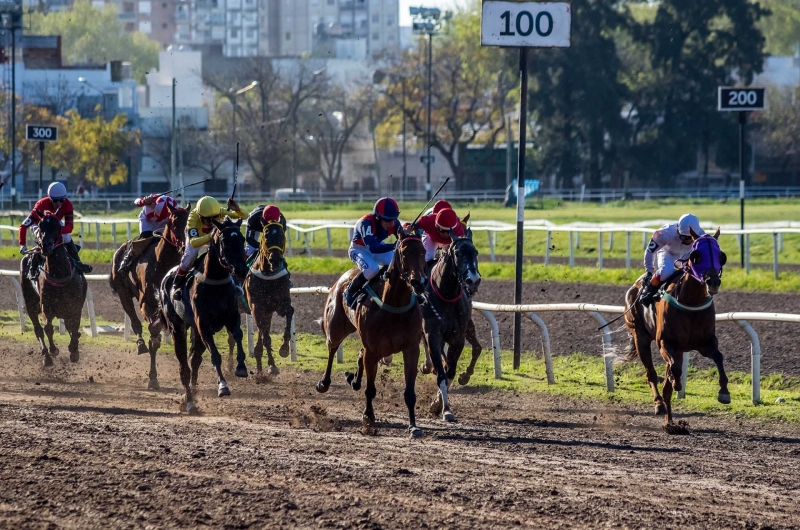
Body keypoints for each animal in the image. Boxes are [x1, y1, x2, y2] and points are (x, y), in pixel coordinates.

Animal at [19, 212, 88, 366]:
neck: (60, 275)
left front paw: (74, 350)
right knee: (38, 329)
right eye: (40, 226)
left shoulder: (75, 307)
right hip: (30, 303)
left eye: (57, 227)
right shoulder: (46, 306)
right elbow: (48, 328)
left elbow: (74, 326)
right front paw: (53, 350)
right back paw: (47, 357)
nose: (45, 246)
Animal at [108, 202, 188, 388]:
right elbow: (153, 333)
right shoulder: (148, 304)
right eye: (174, 223)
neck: (162, 262)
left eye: (189, 223)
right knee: (135, 322)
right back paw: (140, 344)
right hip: (123, 292)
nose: (183, 247)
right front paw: (152, 378)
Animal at [159, 217, 250, 414]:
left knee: (194, 361)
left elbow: (238, 335)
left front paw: (240, 367)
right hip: (178, 327)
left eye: (242, 240)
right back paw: (190, 403)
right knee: (184, 367)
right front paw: (223, 386)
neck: (216, 283)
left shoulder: (232, 316)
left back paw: (191, 395)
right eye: (225, 242)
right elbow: (215, 355)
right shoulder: (203, 324)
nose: (241, 270)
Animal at [316, 229, 428, 436]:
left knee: (358, 355)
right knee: (332, 348)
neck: (394, 304)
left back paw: (353, 380)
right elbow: (370, 389)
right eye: (403, 252)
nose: (419, 282)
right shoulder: (373, 350)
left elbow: (409, 392)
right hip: (336, 328)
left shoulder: (411, 349)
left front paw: (413, 426)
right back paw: (324, 383)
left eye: (423, 251)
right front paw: (368, 417)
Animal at [624, 228, 732, 428]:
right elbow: (672, 370)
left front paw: (724, 392)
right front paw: (675, 383)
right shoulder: (665, 343)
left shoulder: (705, 343)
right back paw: (659, 405)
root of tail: (635, 285)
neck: (691, 301)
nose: (712, 282)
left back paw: (670, 419)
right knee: (650, 374)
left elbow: (719, 358)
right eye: (696, 256)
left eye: (721, 256)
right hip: (640, 336)